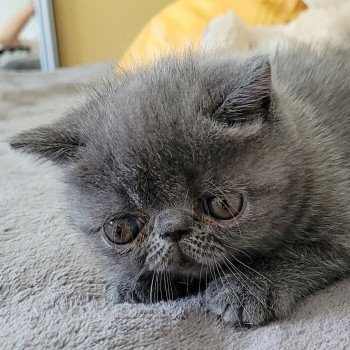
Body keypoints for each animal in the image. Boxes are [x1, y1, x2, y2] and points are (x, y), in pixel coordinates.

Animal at [8, 42, 350, 326]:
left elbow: (298, 254)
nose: (173, 230)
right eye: (120, 230)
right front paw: (137, 282)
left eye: (223, 205)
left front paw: (247, 287)